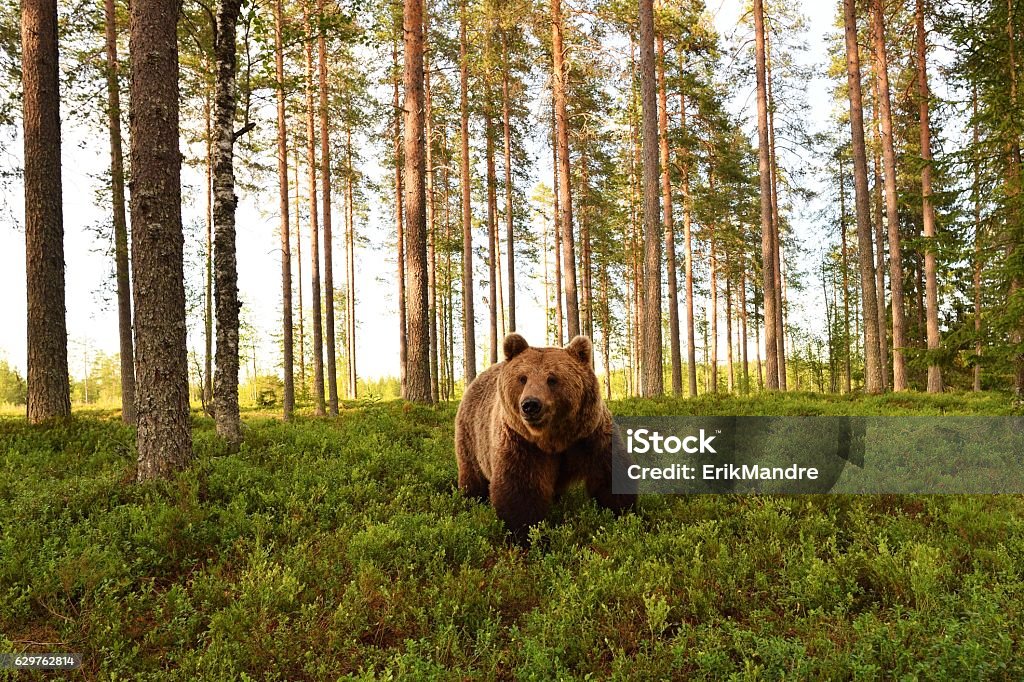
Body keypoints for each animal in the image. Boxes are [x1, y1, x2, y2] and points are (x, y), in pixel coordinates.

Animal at [454, 331, 630, 540]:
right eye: (523, 378)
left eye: (552, 378)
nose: (530, 405)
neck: (553, 439)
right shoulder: (521, 443)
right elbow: (521, 491)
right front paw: (528, 534)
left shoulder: (590, 436)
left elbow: (609, 475)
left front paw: (622, 514)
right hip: (471, 436)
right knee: (472, 474)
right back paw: (471, 500)